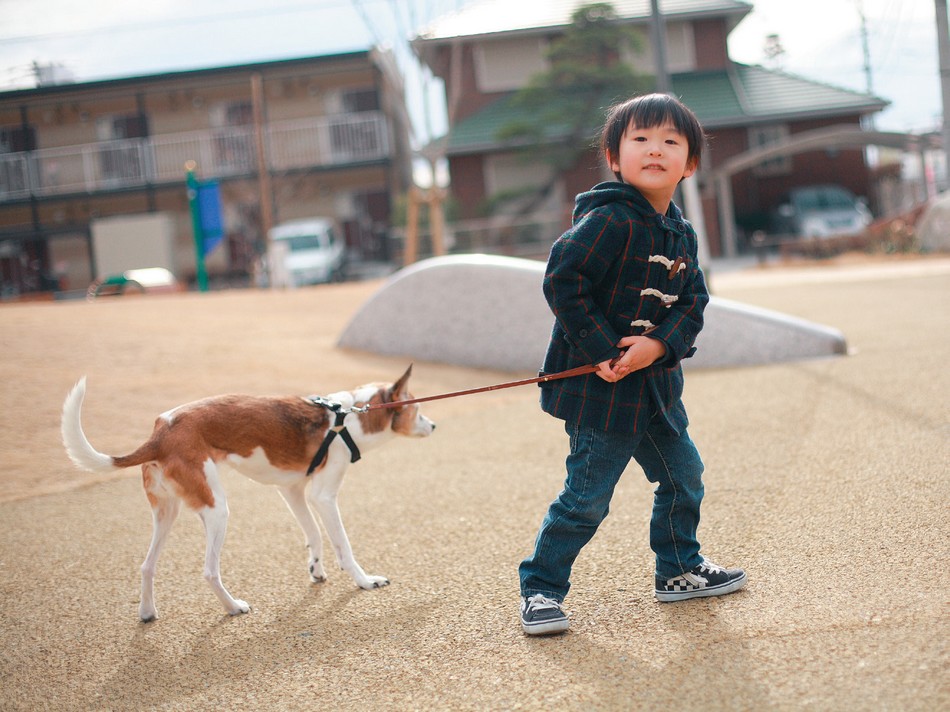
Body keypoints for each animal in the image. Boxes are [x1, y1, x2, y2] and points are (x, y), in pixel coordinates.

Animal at [63, 368, 438, 624]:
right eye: (418, 410)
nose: (434, 426)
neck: (350, 418)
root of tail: (159, 433)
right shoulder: (324, 496)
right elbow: (342, 546)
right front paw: (364, 581)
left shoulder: (293, 491)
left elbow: (313, 534)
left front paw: (316, 569)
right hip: (217, 510)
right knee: (209, 570)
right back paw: (233, 607)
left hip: (166, 513)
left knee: (146, 566)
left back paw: (147, 612)